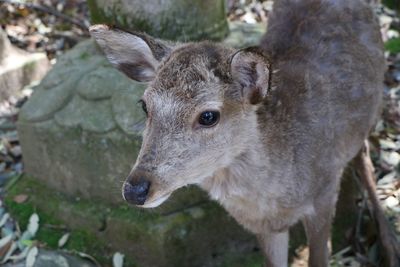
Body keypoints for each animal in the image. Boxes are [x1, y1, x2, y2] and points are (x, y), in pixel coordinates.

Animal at [90, 0, 384, 266]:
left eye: (208, 116)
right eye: (144, 105)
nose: (135, 189)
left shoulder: (325, 190)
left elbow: (319, 258)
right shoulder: (266, 226)